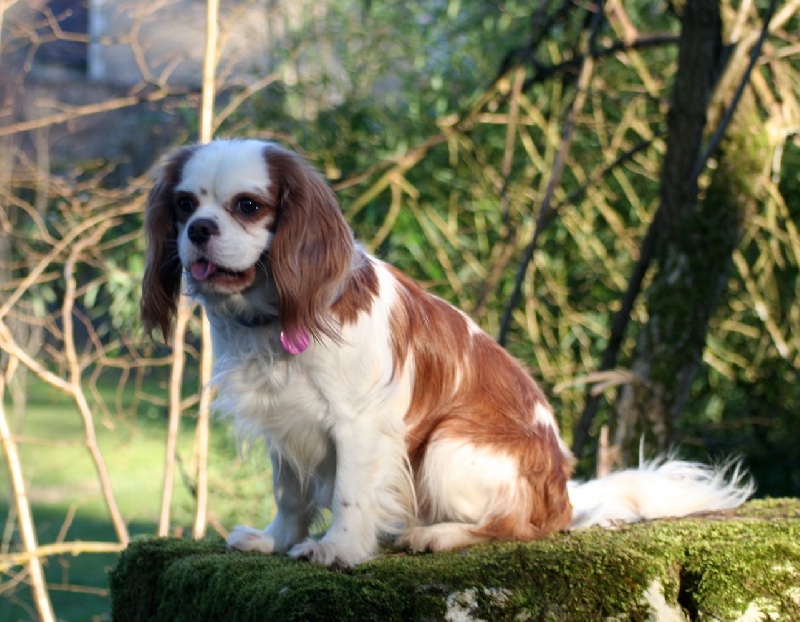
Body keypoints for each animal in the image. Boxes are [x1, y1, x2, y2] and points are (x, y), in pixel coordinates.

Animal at [144, 139, 756, 568]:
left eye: (248, 206)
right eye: (183, 205)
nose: (199, 230)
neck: (276, 316)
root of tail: (563, 492)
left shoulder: (358, 423)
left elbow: (348, 494)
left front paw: (337, 549)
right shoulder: (286, 423)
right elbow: (291, 496)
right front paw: (274, 542)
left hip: (449, 444)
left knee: (517, 528)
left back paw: (437, 534)